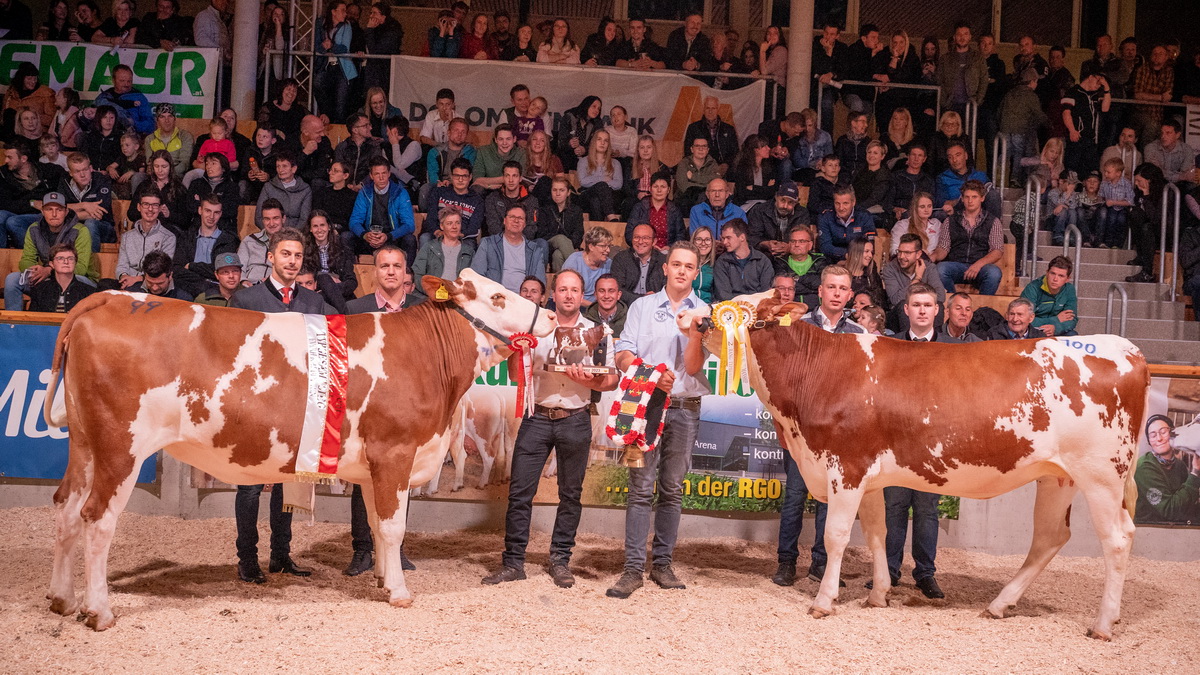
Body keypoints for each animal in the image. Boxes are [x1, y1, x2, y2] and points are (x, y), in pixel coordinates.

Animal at [41, 269, 556, 629]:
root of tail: (110, 297)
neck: (426, 356)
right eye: (496, 296)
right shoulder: (394, 450)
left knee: (65, 507)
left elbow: (376, 523)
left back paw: (61, 599)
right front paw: (400, 591)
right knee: (97, 519)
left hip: (83, 444)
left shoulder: (375, 464)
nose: (551, 315)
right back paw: (99, 611)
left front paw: (382, 580)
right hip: (120, 446)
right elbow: (394, 527)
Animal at [710, 291, 1152, 638]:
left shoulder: (846, 466)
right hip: (1059, 477)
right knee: (1049, 537)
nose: (698, 319)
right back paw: (999, 604)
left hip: (1102, 474)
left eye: (742, 309)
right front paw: (878, 595)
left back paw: (1102, 624)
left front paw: (823, 601)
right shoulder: (868, 476)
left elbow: (836, 535)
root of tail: (1128, 349)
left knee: (1117, 539)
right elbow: (877, 533)